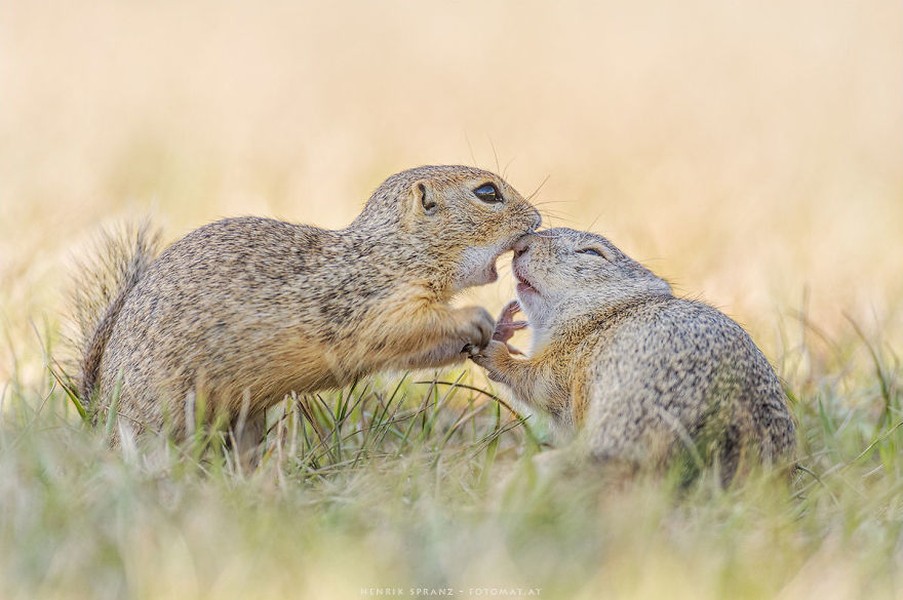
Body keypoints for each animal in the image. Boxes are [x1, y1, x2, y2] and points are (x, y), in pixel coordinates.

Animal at [74, 166, 540, 452]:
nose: (536, 219)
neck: (395, 252)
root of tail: (97, 411)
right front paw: (477, 317)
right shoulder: (367, 304)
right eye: (487, 193)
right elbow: (401, 330)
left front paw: (502, 327)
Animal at [470, 227, 796, 486]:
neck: (606, 315)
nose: (521, 244)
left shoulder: (566, 365)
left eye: (592, 252)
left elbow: (536, 382)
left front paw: (494, 348)